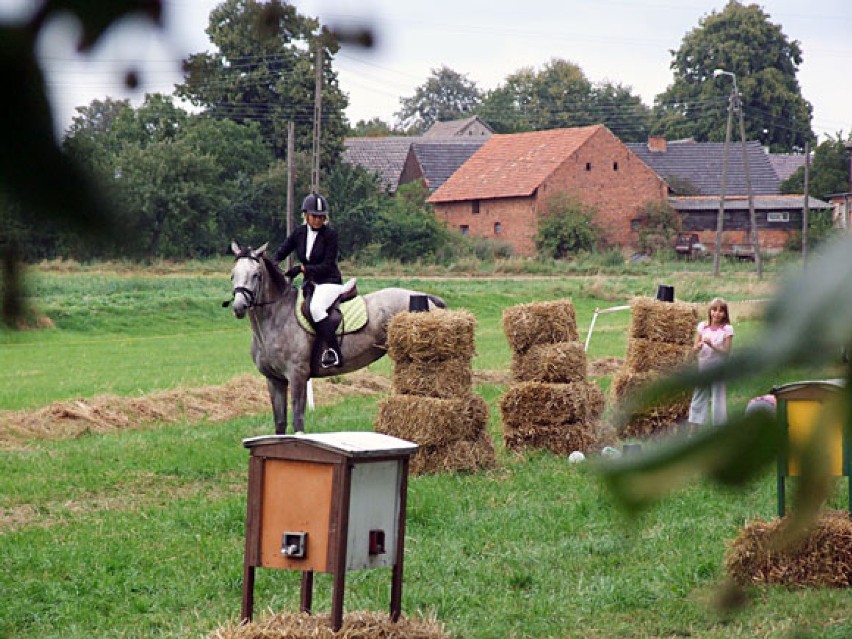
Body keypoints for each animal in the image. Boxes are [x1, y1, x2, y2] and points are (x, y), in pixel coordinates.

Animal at [226, 241, 452, 436]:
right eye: (232, 275)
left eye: (256, 275)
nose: (238, 307)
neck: (276, 317)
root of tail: (427, 297)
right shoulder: (274, 380)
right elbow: (279, 424)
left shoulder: (297, 375)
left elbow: (298, 420)